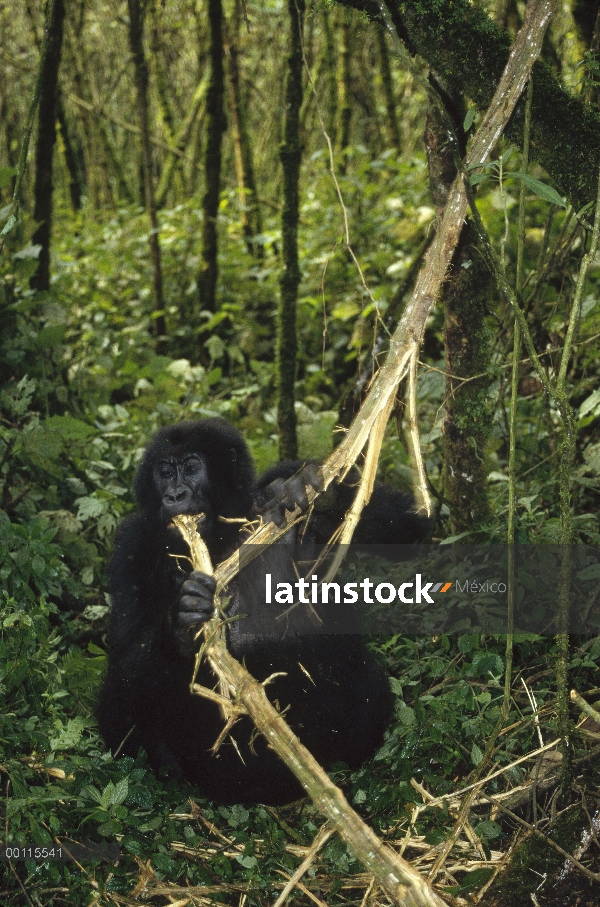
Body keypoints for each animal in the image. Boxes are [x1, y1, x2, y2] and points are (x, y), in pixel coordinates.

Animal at [96, 416, 428, 800]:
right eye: (163, 473)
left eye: (192, 468)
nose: (174, 495)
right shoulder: (131, 541)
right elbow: (125, 651)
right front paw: (181, 625)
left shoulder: (271, 486)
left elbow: (409, 529)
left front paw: (316, 492)